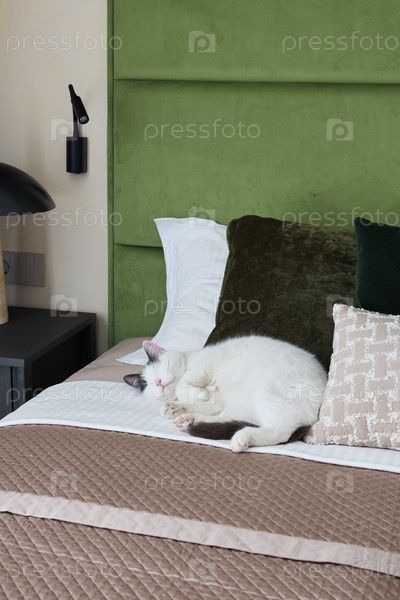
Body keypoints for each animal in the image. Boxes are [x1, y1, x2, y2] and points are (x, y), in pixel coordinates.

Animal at [124, 336, 327, 452]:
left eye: (159, 370)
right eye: (150, 384)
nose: (158, 382)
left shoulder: (203, 367)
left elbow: (183, 384)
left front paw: (198, 394)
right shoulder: (216, 401)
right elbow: (202, 401)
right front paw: (175, 407)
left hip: (266, 390)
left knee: (280, 432)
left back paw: (242, 438)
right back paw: (189, 420)